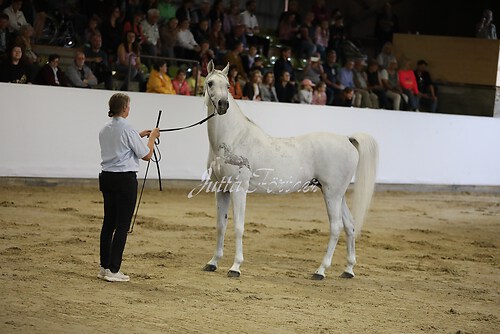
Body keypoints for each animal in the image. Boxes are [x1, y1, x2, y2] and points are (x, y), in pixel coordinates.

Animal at [201, 60, 376, 280]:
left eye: (228, 86)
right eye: (210, 83)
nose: (223, 105)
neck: (233, 137)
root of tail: (347, 139)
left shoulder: (238, 189)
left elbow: (238, 227)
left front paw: (235, 267)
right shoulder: (221, 190)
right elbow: (220, 226)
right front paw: (213, 262)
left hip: (332, 194)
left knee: (336, 227)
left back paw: (321, 271)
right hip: (337, 194)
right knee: (350, 225)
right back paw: (348, 270)